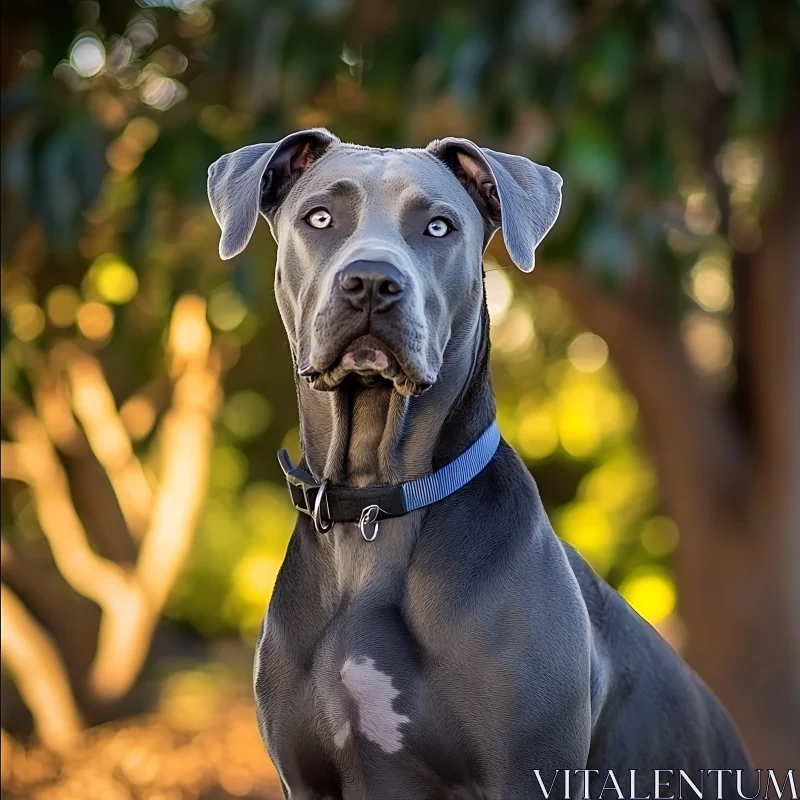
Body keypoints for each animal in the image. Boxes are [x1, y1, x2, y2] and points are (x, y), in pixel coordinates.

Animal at [208, 131, 756, 800]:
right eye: (319, 218)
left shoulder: (529, 770)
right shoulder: (304, 780)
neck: (376, 504)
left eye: (439, 226)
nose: (371, 282)